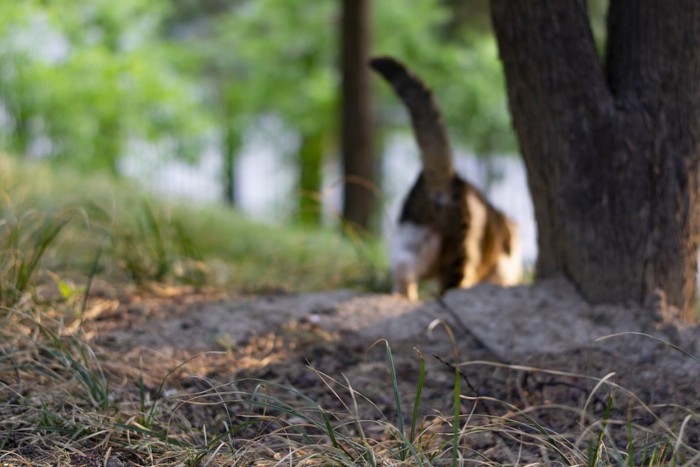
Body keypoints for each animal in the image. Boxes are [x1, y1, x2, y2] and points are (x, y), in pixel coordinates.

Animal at [370, 56, 524, 302]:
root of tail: (449, 178)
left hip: (414, 235)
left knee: (402, 265)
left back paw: (406, 296)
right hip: (460, 252)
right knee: (450, 284)